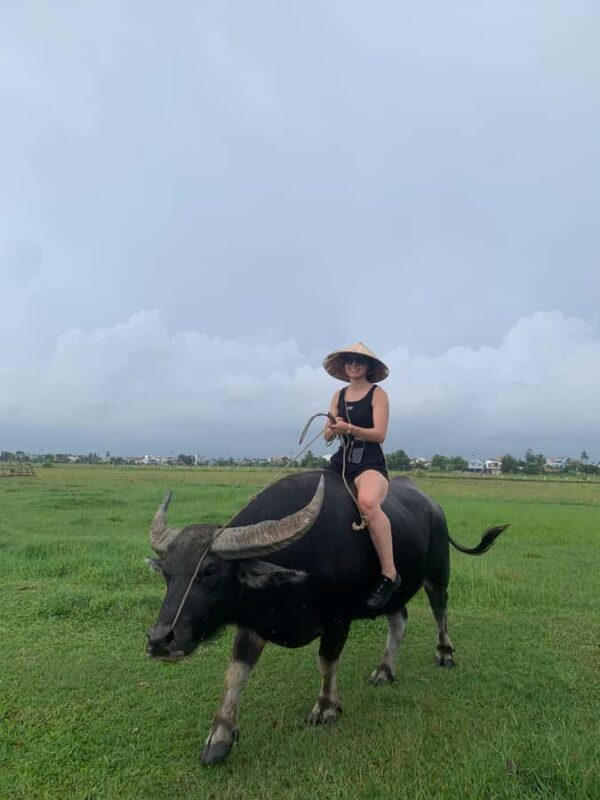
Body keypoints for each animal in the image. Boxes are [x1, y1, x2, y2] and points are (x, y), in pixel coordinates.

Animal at [146, 470, 508, 766]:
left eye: (209, 571)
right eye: (167, 573)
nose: (160, 639)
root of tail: (434, 506)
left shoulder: (338, 620)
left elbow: (326, 662)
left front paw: (325, 707)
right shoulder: (254, 622)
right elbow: (235, 674)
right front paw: (219, 737)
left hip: (438, 572)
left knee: (439, 610)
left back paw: (444, 654)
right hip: (394, 593)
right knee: (399, 620)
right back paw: (384, 670)